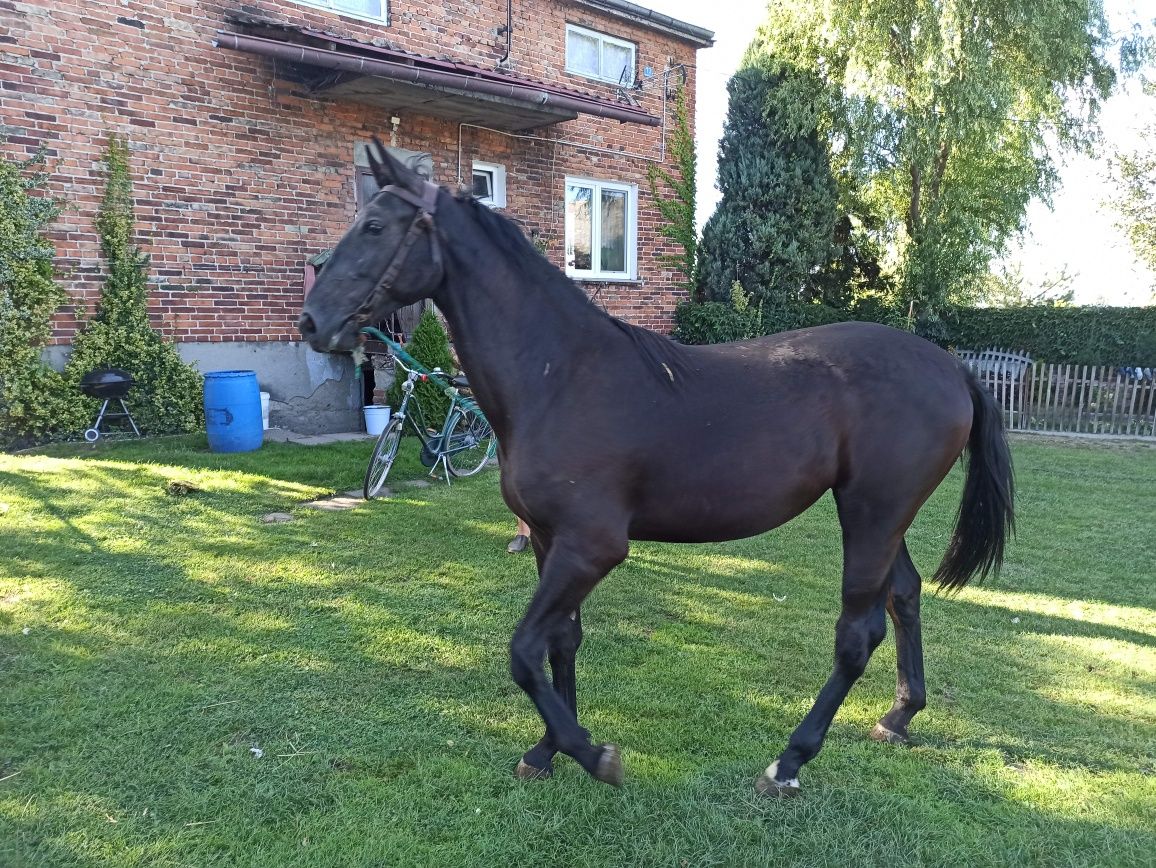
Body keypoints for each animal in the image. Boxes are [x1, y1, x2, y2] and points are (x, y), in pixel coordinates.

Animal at [298, 141, 1012, 795]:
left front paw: (591, 754)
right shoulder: (550, 542)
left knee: (857, 632)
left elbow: (524, 651)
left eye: (374, 226)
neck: (560, 375)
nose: (311, 321)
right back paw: (899, 716)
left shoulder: (591, 547)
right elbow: (560, 641)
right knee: (904, 596)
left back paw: (789, 760)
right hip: (876, 515)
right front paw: (546, 750)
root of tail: (951, 367)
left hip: (872, 514)